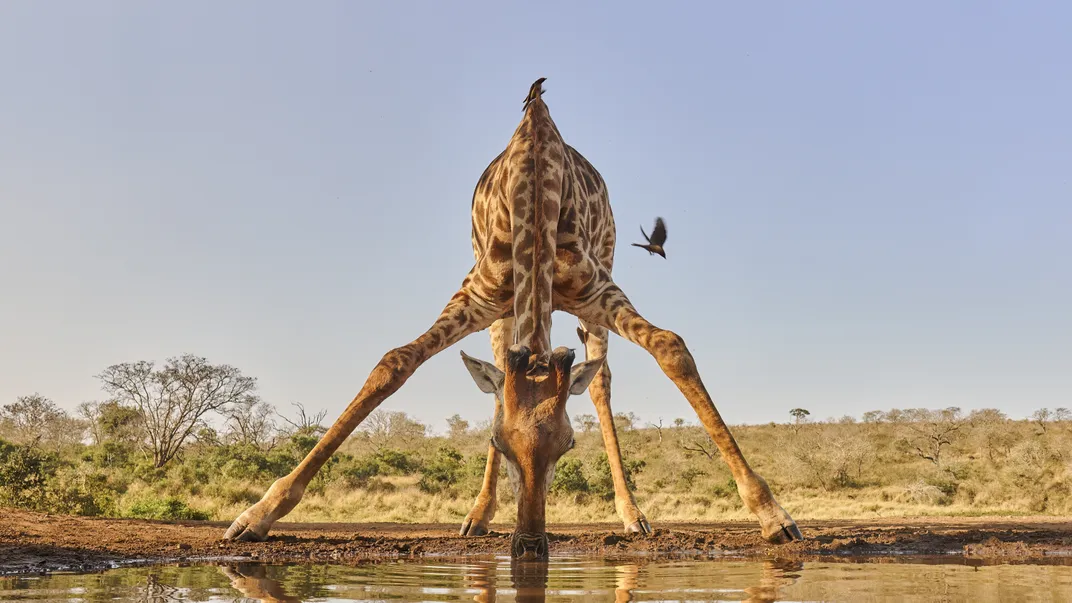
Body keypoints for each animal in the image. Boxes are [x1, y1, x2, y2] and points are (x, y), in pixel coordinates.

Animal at [221, 77, 801, 557]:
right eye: (501, 442)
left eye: (568, 444)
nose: (529, 544)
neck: (535, 188)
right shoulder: (476, 295)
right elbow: (395, 362)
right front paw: (257, 515)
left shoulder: (596, 287)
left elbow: (671, 347)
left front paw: (772, 514)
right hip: (503, 314)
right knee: (499, 373)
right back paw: (477, 517)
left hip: (597, 282)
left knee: (600, 381)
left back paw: (632, 515)